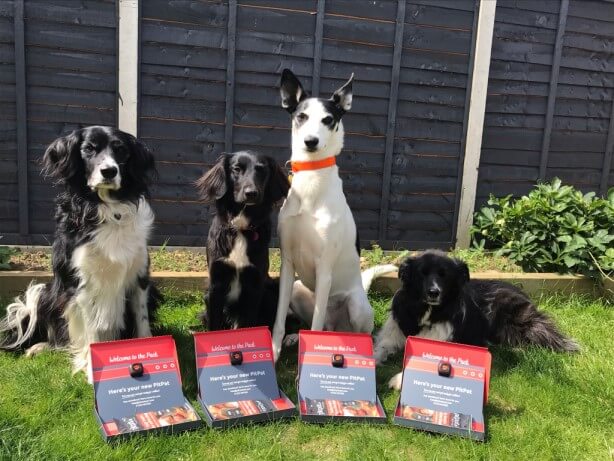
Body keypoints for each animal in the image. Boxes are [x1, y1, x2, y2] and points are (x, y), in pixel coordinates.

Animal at [0, 126, 161, 380]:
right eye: (89, 149)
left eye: (121, 150)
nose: (109, 171)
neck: (108, 209)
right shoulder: (82, 284)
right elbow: (91, 329)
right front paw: (90, 368)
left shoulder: (141, 277)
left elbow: (142, 321)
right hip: (47, 293)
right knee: (57, 336)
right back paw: (40, 347)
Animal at [199, 151, 292, 330]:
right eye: (236, 169)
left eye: (262, 170)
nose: (251, 193)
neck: (241, 229)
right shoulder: (215, 285)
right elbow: (214, 325)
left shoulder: (255, 286)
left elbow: (248, 324)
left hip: (270, 291)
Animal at [272, 68, 398, 360]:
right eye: (301, 116)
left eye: (328, 119)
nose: (311, 141)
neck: (312, 179)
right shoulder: (287, 265)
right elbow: (279, 320)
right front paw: (272, 351)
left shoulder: (324, 268)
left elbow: (315, 329)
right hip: (299, 289)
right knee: (317, 325)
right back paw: (295, 337)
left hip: (356, 305)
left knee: (354, 333)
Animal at [372, 252, 580, 388]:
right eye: (422, 273)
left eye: (444, 275)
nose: (433, 292)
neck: (428, 311)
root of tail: (517, 288)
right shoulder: (392, 334)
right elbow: (378, 349)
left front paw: (399, 379)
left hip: (518, 322)